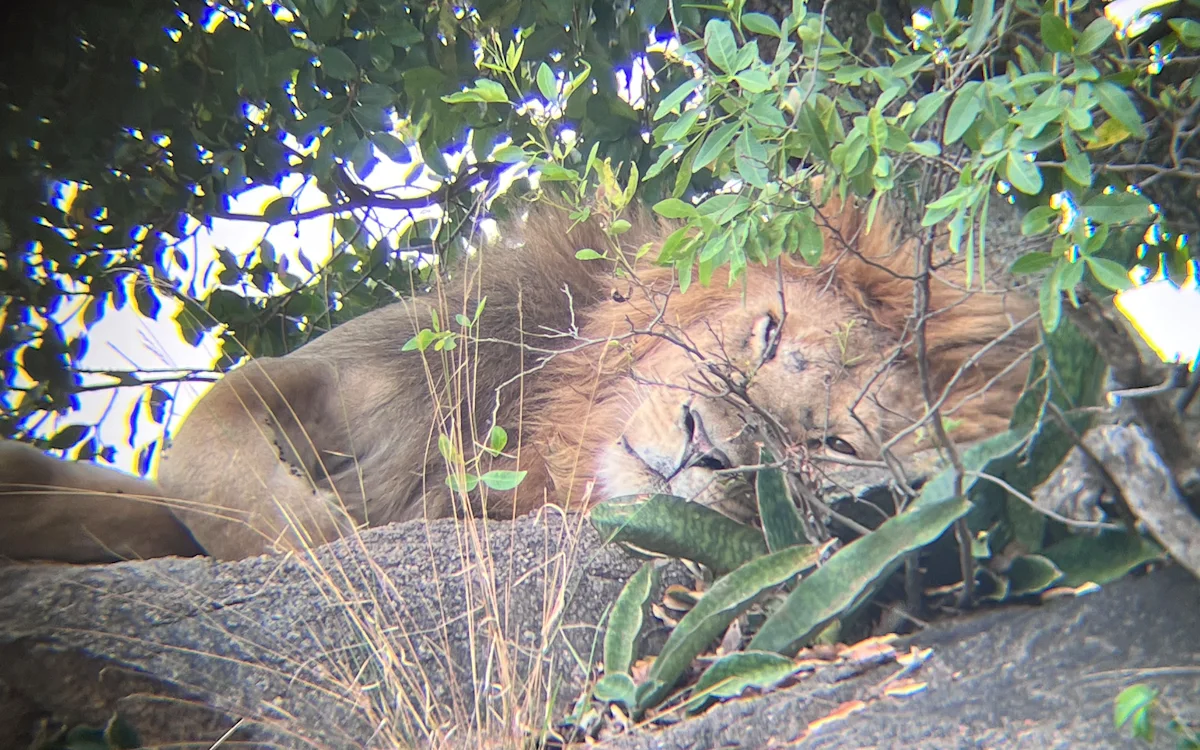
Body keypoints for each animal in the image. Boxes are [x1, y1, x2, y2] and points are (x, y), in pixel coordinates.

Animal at [0, 191, 1038, 562]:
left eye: (829, 443)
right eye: (768, 333)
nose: (705, 448)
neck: (550, 425)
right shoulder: (360, 375)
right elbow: (204, 436)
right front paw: (308, 530)